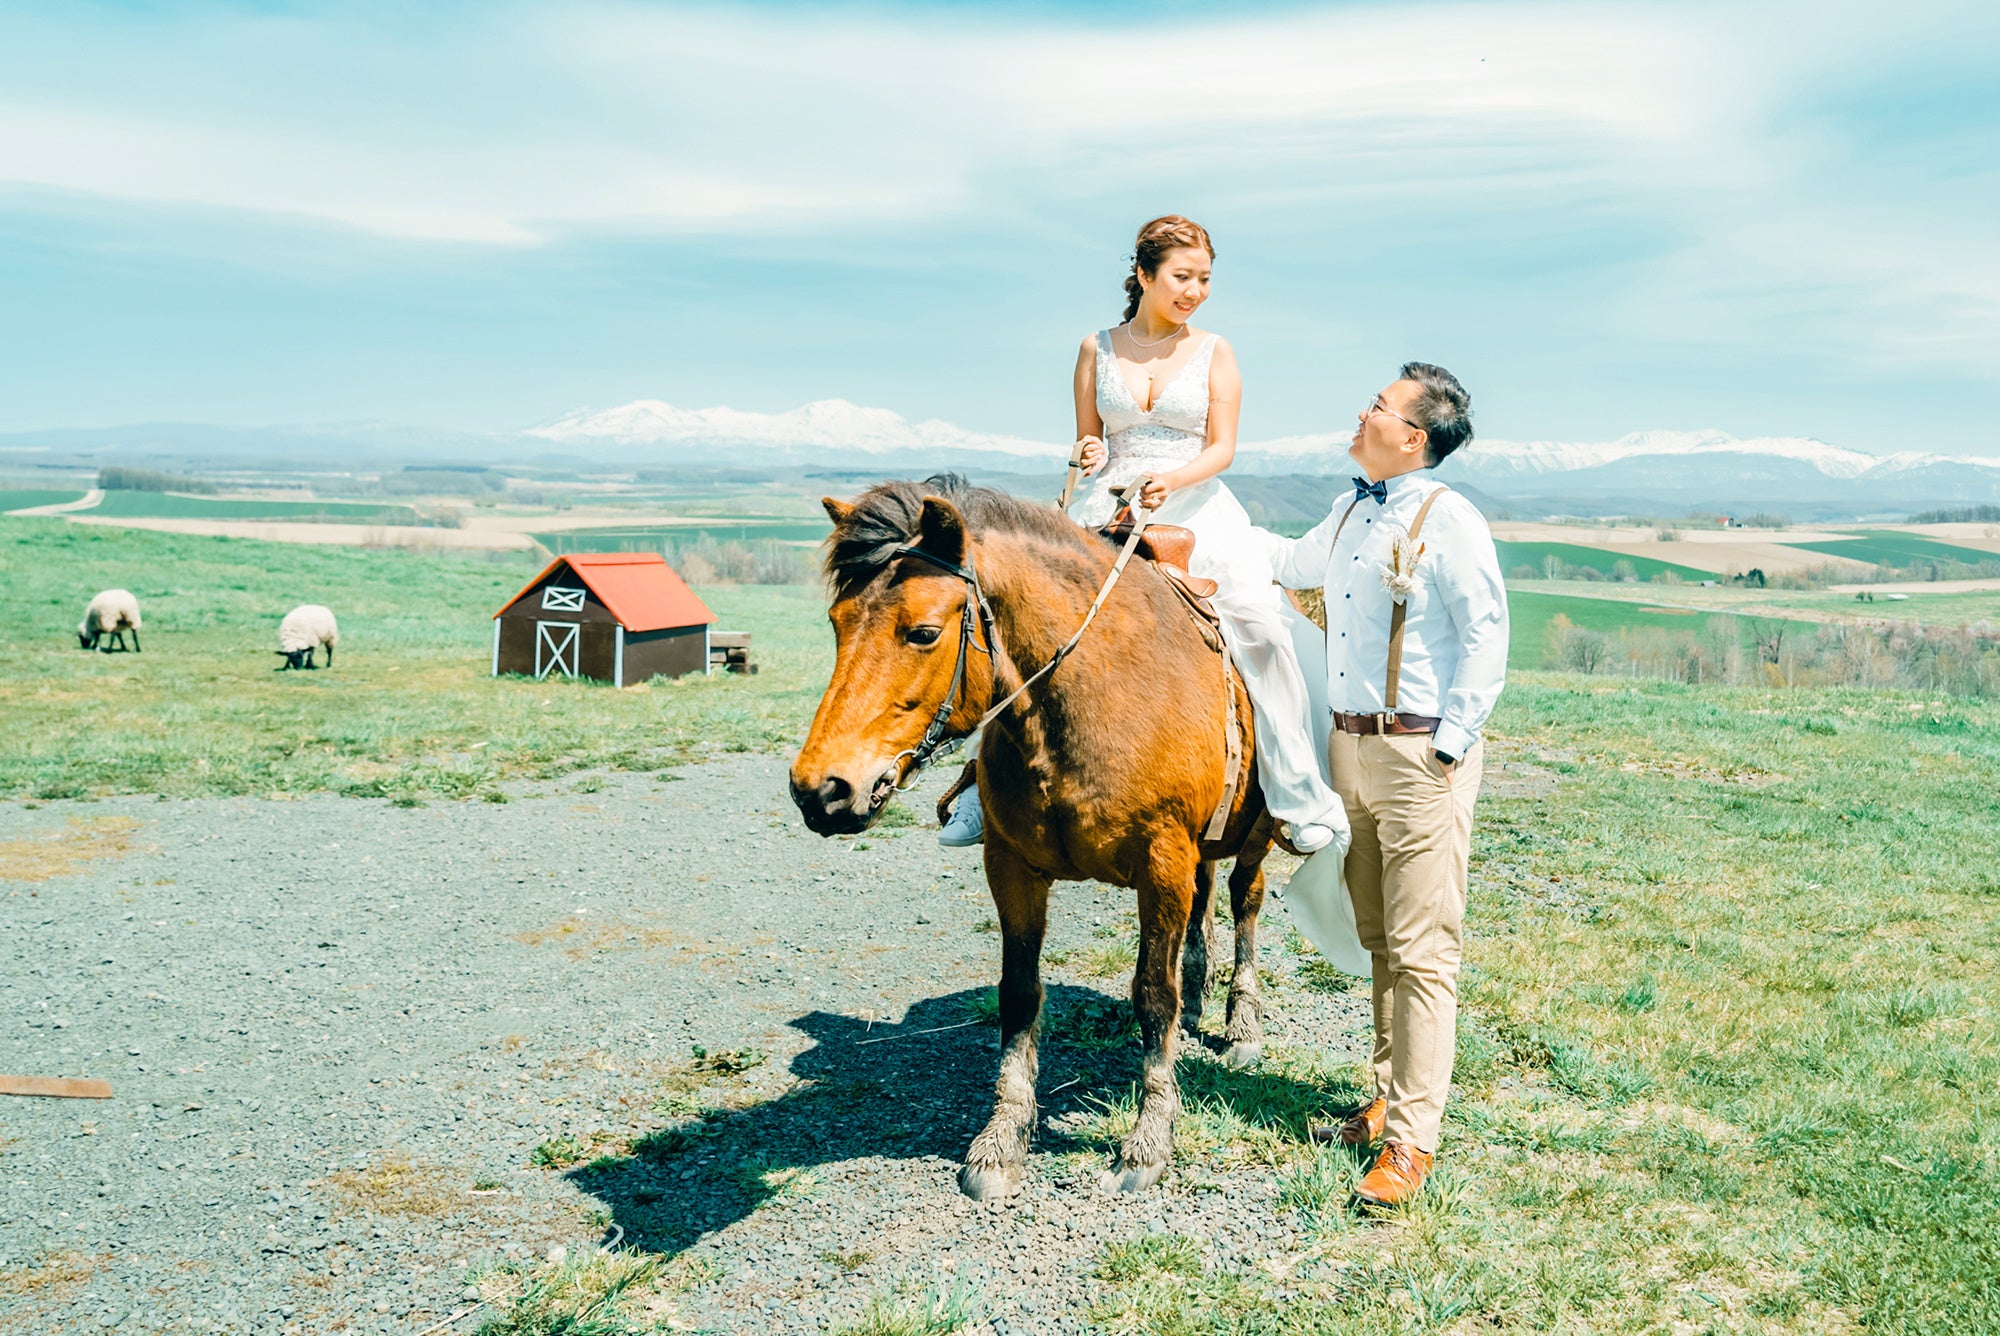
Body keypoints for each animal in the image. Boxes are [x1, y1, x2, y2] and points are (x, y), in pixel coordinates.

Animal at [788, 474, 1272, 1192]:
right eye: (836, 623)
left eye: (923, 632)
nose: (820, 790)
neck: (1093, 694)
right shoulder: (1011, 864)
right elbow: (1018, 996)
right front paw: (1002, 1138)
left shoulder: (1161, 863)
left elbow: (1152, 995)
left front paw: (1148, 1141)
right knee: (1206, 902)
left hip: (1259, 833)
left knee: (1244, 903)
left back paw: (1240, 1022)